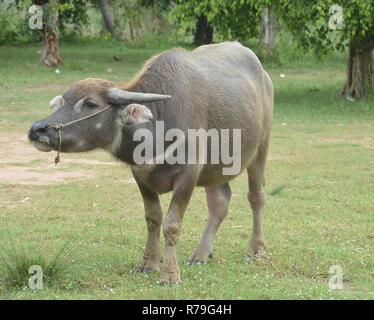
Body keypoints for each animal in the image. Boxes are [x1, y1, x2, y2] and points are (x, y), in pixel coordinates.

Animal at [28, 40, 274, 284]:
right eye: (61, 103)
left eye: (90, 103)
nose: (37, 129)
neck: (160, 125)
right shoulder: (140, 175)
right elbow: (153, 218)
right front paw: (148, 264)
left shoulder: (189, 175)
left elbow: (172, 224)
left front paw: (170, 275)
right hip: (215, 170)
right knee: (219, 203)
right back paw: (201, 254)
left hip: (260, 149)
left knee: (256, 197)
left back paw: (256, 249)